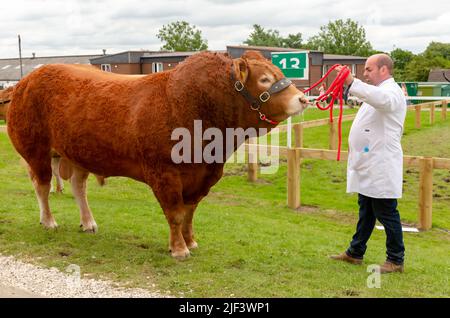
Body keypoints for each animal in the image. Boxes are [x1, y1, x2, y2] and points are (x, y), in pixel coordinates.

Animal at [7, 50, 310, 258]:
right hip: (35, 149)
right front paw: (178, 249)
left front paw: (190, 241)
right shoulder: (164, 173)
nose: (304, 99)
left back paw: (88, 222)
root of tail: (27, 80)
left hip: (78, 153)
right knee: (42, 185)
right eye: (264, 79)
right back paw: (49, 221)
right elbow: (175, 213)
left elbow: (189, 213)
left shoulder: (202, 175)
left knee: (77, 186)